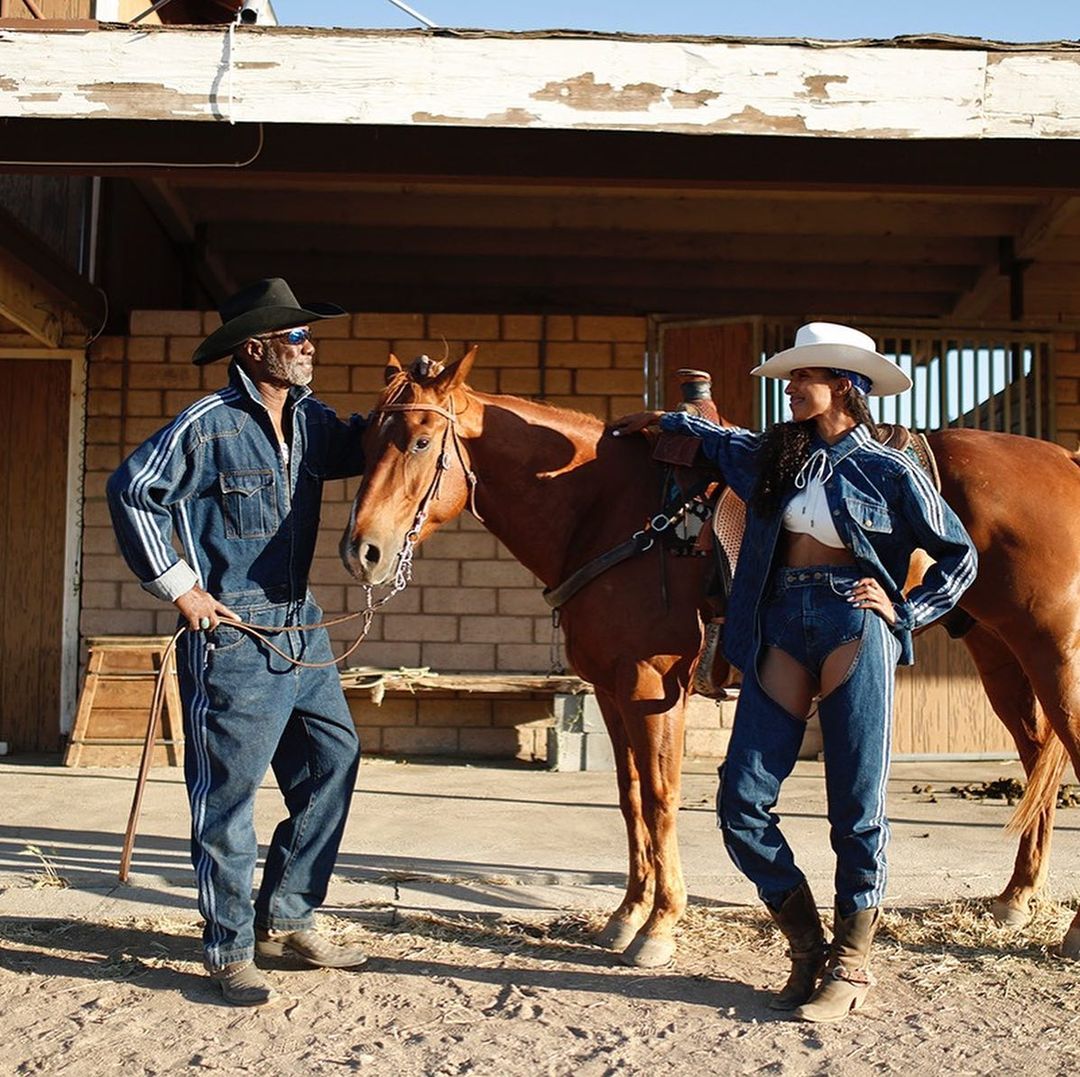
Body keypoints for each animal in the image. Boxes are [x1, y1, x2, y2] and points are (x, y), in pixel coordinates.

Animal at [341, 347, 1080, 963]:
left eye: (421, 439)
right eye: (366, 438)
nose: (363, 551)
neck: (607, 509)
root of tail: (1067, 463)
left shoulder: (650, 687)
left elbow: (662, 797)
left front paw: (660, 927)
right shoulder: (609, 689)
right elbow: (629, 798)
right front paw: (626, 914)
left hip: (1055, 657)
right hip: (998, 654)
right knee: (1035, 756)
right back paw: (1016, 899)